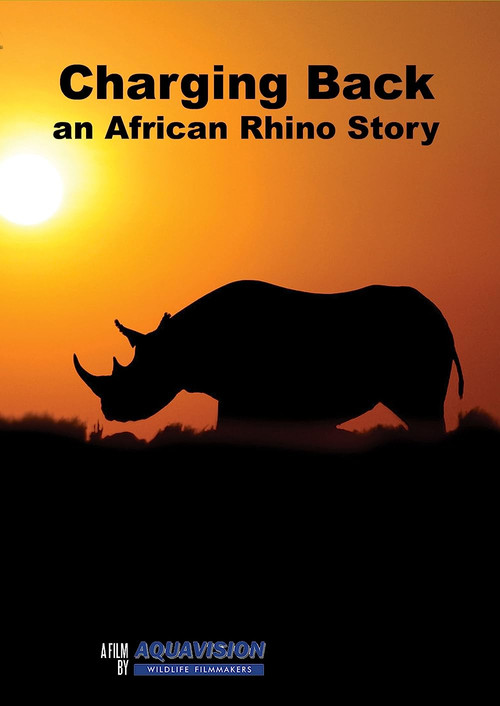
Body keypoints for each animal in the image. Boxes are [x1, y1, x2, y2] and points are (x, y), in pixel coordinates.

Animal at [74, 280, 464, 435]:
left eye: (138, 379)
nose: (110, 411)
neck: (179, 346)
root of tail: (443, 320)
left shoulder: (241, 394)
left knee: (422, 410)